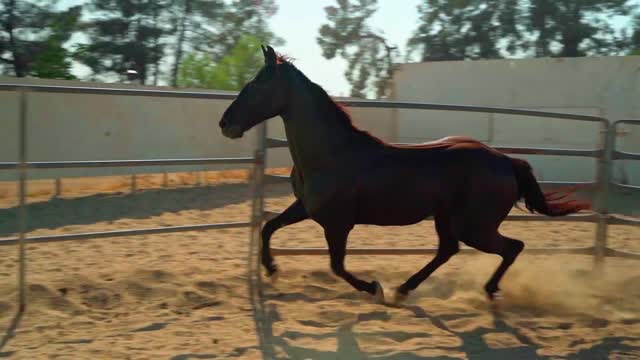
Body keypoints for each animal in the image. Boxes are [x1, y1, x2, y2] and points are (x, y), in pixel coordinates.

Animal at [218, 45, 588, 304]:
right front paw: (271, 270)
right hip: (449, 219)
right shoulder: (306, 208)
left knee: (511, 247)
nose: (225, 124)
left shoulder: (337, 223)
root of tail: (506, 161)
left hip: (474, 226)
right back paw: (404, 289)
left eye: (256, 84)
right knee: (448, 251)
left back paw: (486, 290)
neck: (330, 154)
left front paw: (373, 288)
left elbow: (337, 266)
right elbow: (268, 227)